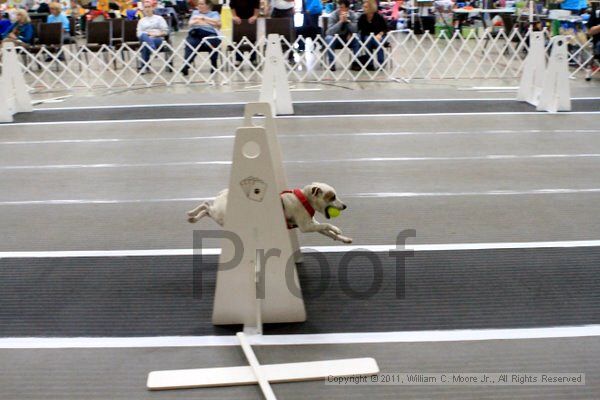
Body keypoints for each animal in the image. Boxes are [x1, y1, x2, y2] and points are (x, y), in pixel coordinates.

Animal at [188, 182, 352, 244]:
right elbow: (326, 225)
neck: (304, 199)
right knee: (206, 205)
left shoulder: (312, 225)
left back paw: (193, 218)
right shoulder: (306, 227)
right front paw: (336, 228)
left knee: (206, 210)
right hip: (219, 214)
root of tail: (222, 194)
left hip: (220, 217)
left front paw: (343, 238)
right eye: (332, 197)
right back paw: (191, 213)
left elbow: (327, 231)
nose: (345, 206)